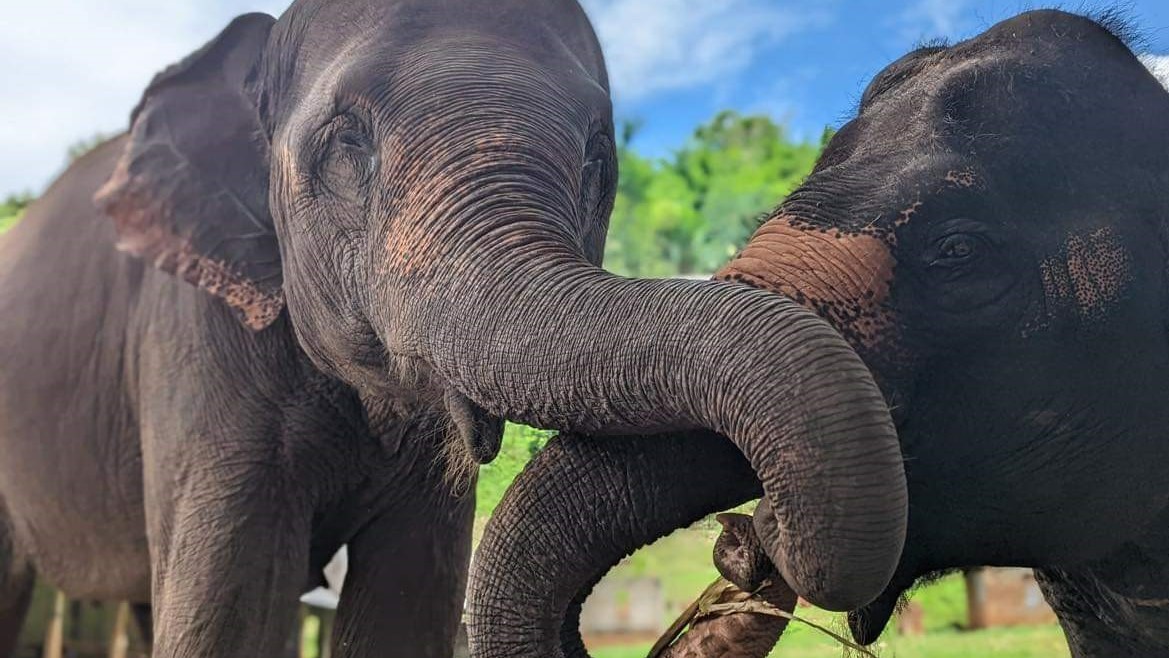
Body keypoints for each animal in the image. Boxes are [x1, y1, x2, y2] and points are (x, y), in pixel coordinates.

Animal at [0, 0, 902, 654]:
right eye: (343, 144)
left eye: (596, 159)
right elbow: (230, 609)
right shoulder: (196, 335)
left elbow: (407, 601)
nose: (752, 534)